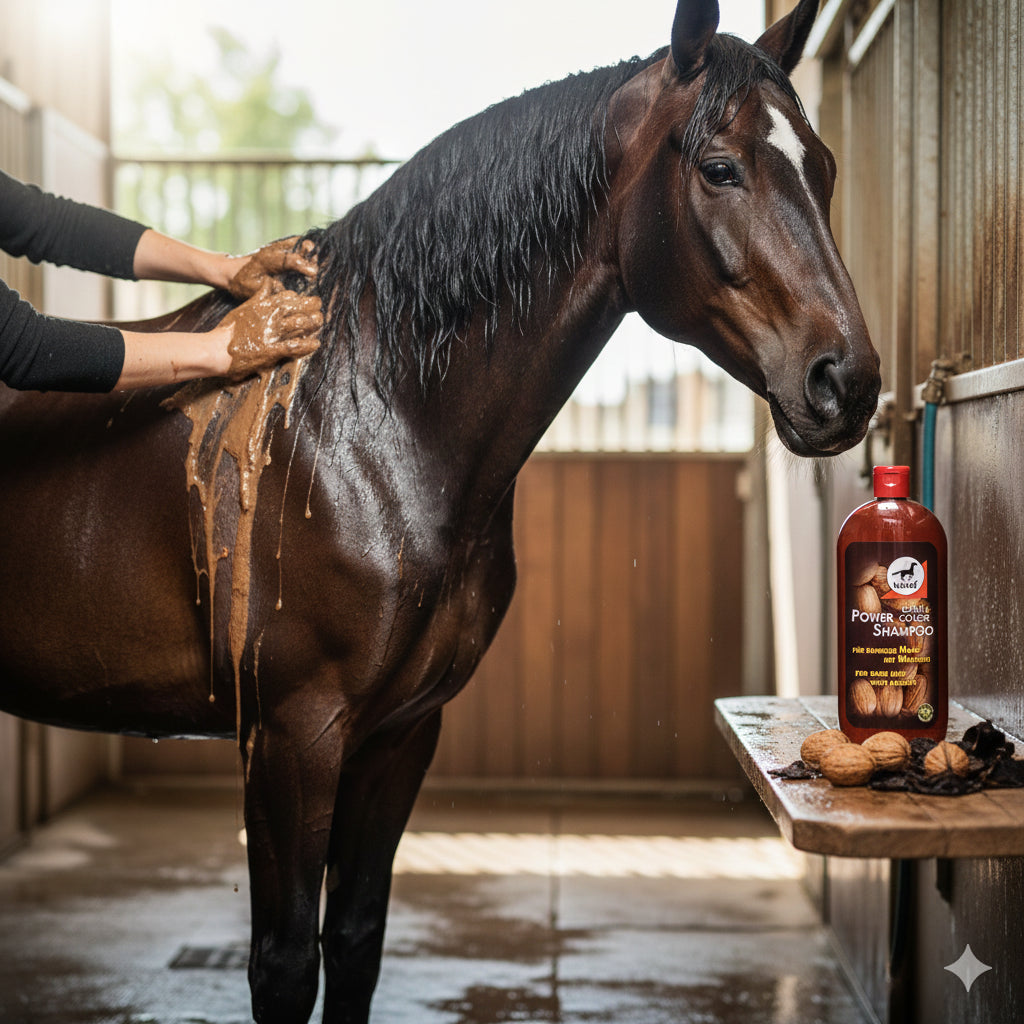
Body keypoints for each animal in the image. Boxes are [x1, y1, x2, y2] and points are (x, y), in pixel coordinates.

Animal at [0, 1, 881, 1021]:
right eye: (720, 167)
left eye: (823, 166)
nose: (848, 384)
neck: (371, 422)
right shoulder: (290, 739)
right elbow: (285, 961)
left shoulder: (399, 735)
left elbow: (354, 939)